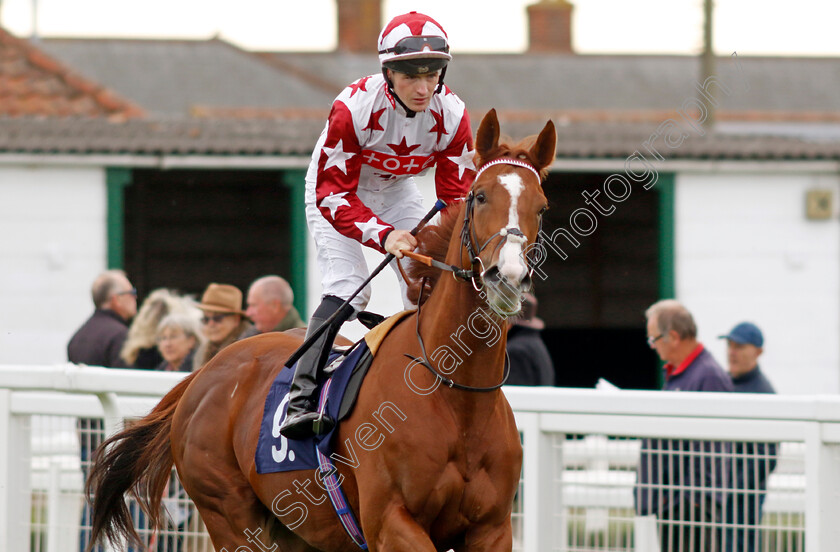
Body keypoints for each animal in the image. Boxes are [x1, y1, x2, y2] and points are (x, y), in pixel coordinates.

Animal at [87, 109, 556, 552]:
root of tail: (204, 373)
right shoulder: (391, 523)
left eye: (542, 206)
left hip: (300, 531)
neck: (456, 394)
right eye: (480, 196)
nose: (507, 278)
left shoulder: (493, 529)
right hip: (232, 518)